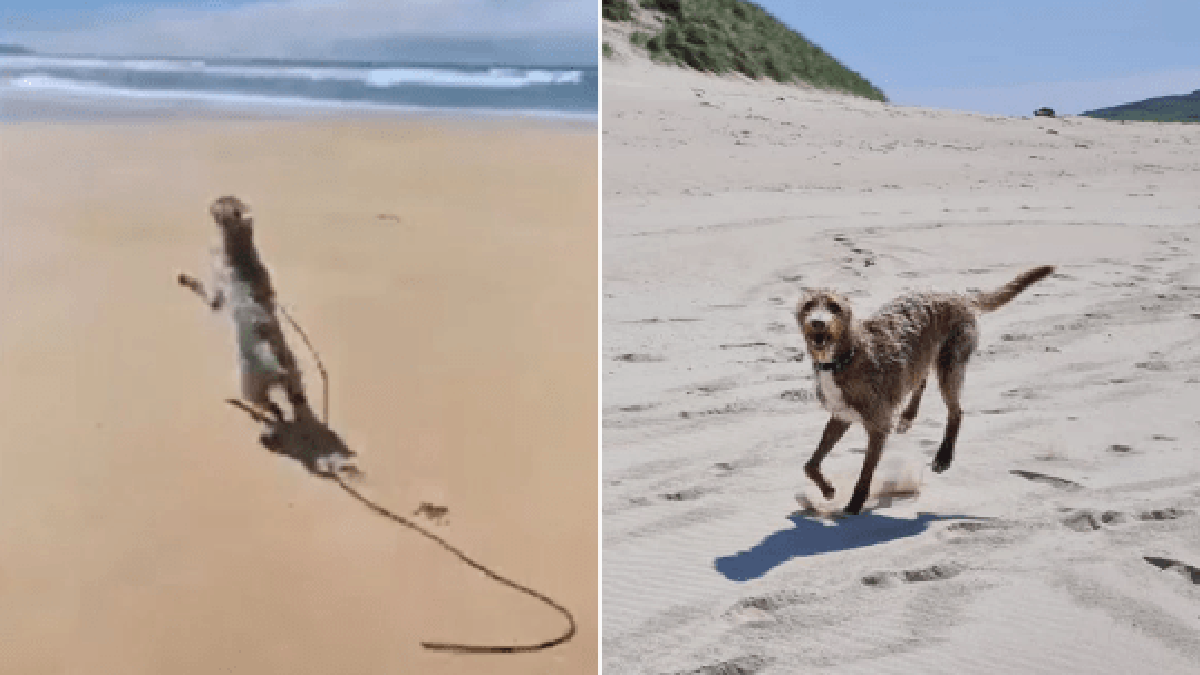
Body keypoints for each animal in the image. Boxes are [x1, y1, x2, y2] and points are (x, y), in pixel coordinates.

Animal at [801, 265, 1056, 511]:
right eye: (808, 305)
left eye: (835, 307)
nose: (818, 322)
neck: (845, 357)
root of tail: (960, 297)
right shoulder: (841, 415)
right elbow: (810, 464)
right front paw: (828, 490)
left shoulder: (878, 424)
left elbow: (865, 472)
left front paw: (855, 503)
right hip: (923, 356)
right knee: (921, 380)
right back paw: (908, 416)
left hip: (950, 362)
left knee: (956, 411)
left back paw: (944, 456)